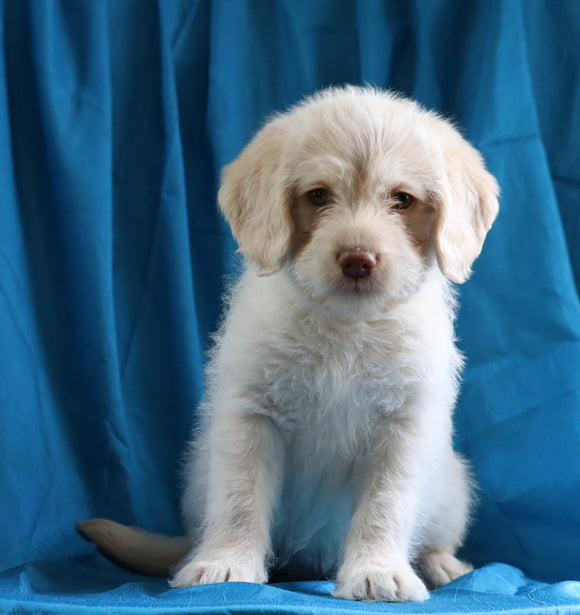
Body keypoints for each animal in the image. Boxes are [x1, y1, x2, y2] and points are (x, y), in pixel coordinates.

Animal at [80, 89, 498, 604]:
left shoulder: (403, 427)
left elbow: (385, 505)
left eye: (402, 199)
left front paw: (377, 570)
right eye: (319, 195)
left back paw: (443, 566)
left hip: (451, 489)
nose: (358, 259)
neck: (344, 324)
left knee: (435, 536)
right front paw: (228, 564)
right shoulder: (253, 416)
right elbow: (241, 499)